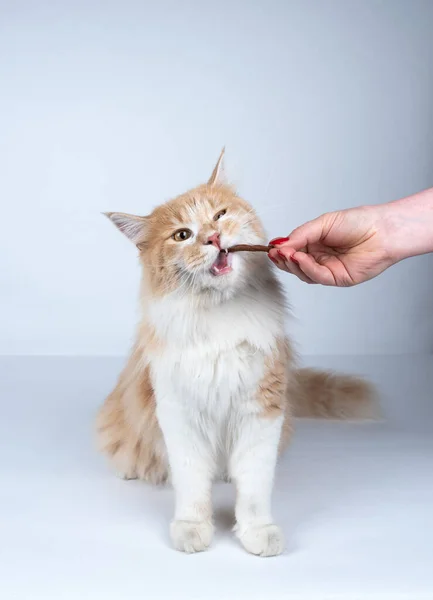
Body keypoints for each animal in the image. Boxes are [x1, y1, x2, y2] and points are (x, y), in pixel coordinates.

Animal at [97, 150, 374, 556]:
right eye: (182, 235)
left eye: (219, 215)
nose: (213, 237)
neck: (219, 315)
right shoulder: (179, 410)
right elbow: (193, 484)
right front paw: (193, 528)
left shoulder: (261, 407)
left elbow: (255, 486)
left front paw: (257, 531)